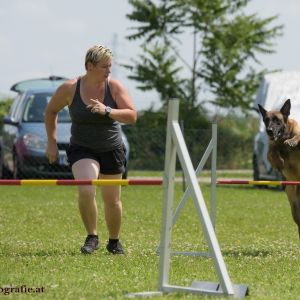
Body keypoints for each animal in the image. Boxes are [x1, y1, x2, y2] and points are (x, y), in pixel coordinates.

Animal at [258, 99, 300, 238]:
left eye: (277, 120)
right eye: (266, 120)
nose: (269, 130)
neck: (284, 136)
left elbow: (298, 137)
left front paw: (292, 141)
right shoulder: (270, 150)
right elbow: (272, 153)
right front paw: (280, 162)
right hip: (295, 208)